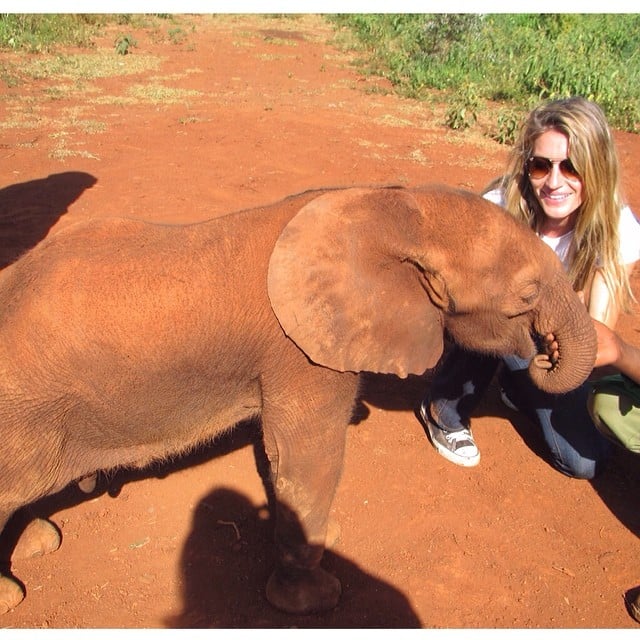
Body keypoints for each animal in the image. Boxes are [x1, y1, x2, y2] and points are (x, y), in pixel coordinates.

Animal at [0, 184, 596, 616]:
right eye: (526, 294)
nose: (543, 356)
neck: (391, 208)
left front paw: (329, 540)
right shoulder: (302, 352)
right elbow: (309, 457)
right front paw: (314, 601)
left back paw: (37, 542)